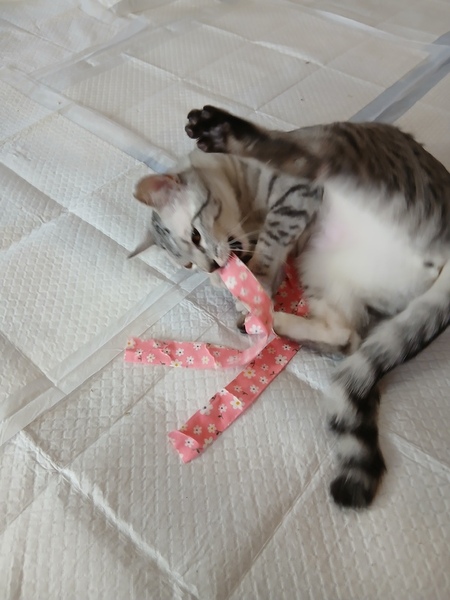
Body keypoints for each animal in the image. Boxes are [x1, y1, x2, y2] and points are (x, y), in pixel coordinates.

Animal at [132, 105, 450, 509]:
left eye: (195, 236)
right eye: (187, 265)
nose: (212, 269)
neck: (247, 203)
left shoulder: (294, 197)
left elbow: (271, 242)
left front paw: (255, 280)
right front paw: (242, 293)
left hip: (343, 161)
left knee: (296, 152)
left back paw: (217, 127)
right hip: (321, 266)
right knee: (346, 337)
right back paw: (271, 321)